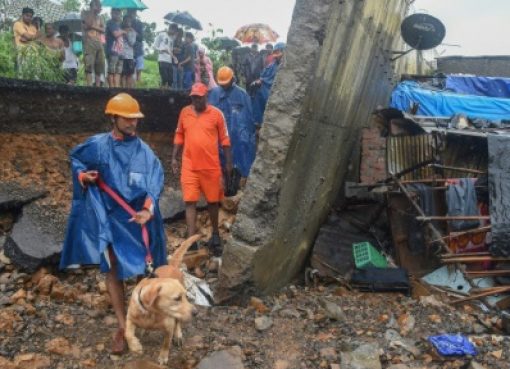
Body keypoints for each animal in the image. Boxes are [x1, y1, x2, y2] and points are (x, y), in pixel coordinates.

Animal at [125, 234, 201, 364]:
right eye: (177, 298)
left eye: (185, 296)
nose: (196, 312)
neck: (150, 313)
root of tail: (171, 265)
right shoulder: (129, 318)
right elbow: (127, 333)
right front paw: (135, 346)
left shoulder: (168, 327)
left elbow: (166, 343)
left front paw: (163, 356)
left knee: (178, 322)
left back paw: (178, 334)